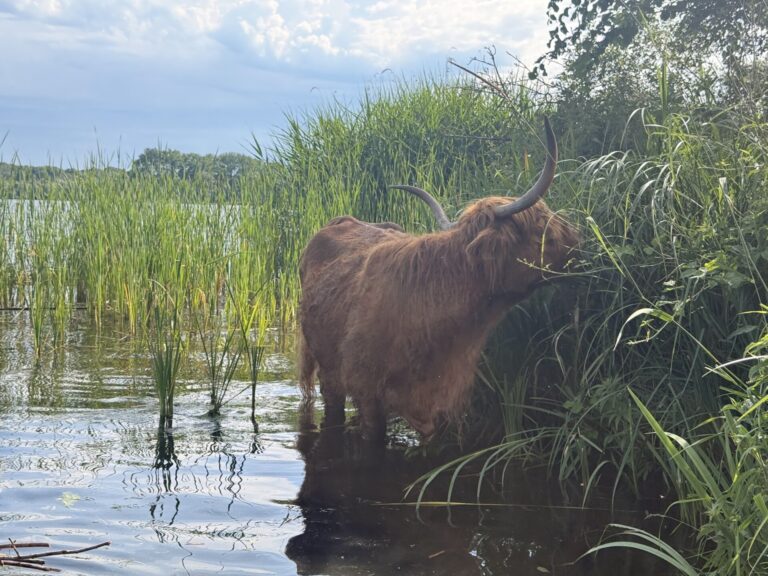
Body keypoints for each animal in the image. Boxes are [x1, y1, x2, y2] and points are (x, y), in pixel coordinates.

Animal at [298, 118, 578, 442]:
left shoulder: (443, 403)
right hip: (329, 371)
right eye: (542, 227)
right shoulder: (367, 394)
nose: (579, 239)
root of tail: (343, 220)